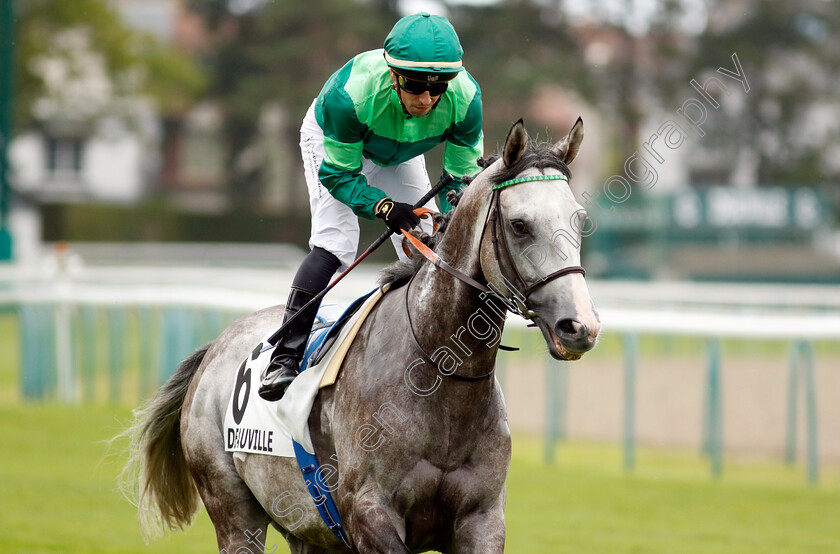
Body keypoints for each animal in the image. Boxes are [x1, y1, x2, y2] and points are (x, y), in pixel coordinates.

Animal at [123, 118, 596, 548]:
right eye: (519, 224)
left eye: (580, 220)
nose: (579, 326)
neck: (440, 376)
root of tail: (216, 348)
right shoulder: (369, 513)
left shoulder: (482, 520)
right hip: (234, 513)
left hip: (308, 532)